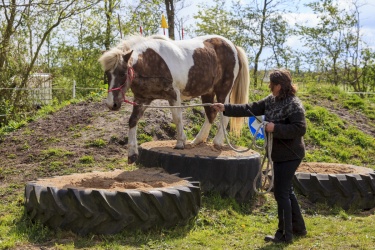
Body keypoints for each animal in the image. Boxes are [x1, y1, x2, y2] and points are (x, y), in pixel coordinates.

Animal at [100, 35, 251, 164]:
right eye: (107, 73)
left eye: (122, 73)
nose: (111, 104)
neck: (151, 62)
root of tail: (233, 46)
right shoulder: (142, 99)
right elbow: (132, 121)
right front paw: (132, 154)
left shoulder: (174, 95)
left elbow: (177, 118)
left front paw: (180, 143)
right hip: (207, 93)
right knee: (210, 114)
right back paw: (197, 141)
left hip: (223, 91)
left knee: (223, 116)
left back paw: (217, 142)